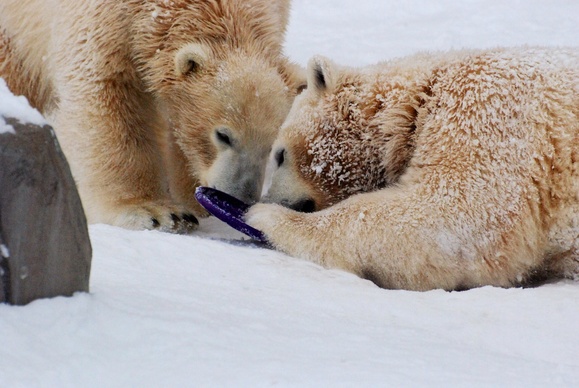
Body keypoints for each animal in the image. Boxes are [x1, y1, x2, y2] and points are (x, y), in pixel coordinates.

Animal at [0, 0, 306, 232]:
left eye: (271, 147)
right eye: (223, 135)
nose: (237, 197)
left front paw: (190, 202)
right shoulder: (103, 20)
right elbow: (106, 96)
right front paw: (157, 212)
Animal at [248, 47, 579, 290]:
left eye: (279, 154)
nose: (270, 199)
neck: (419, 98)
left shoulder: (490, 109)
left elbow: (455, 214)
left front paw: (266, 217)